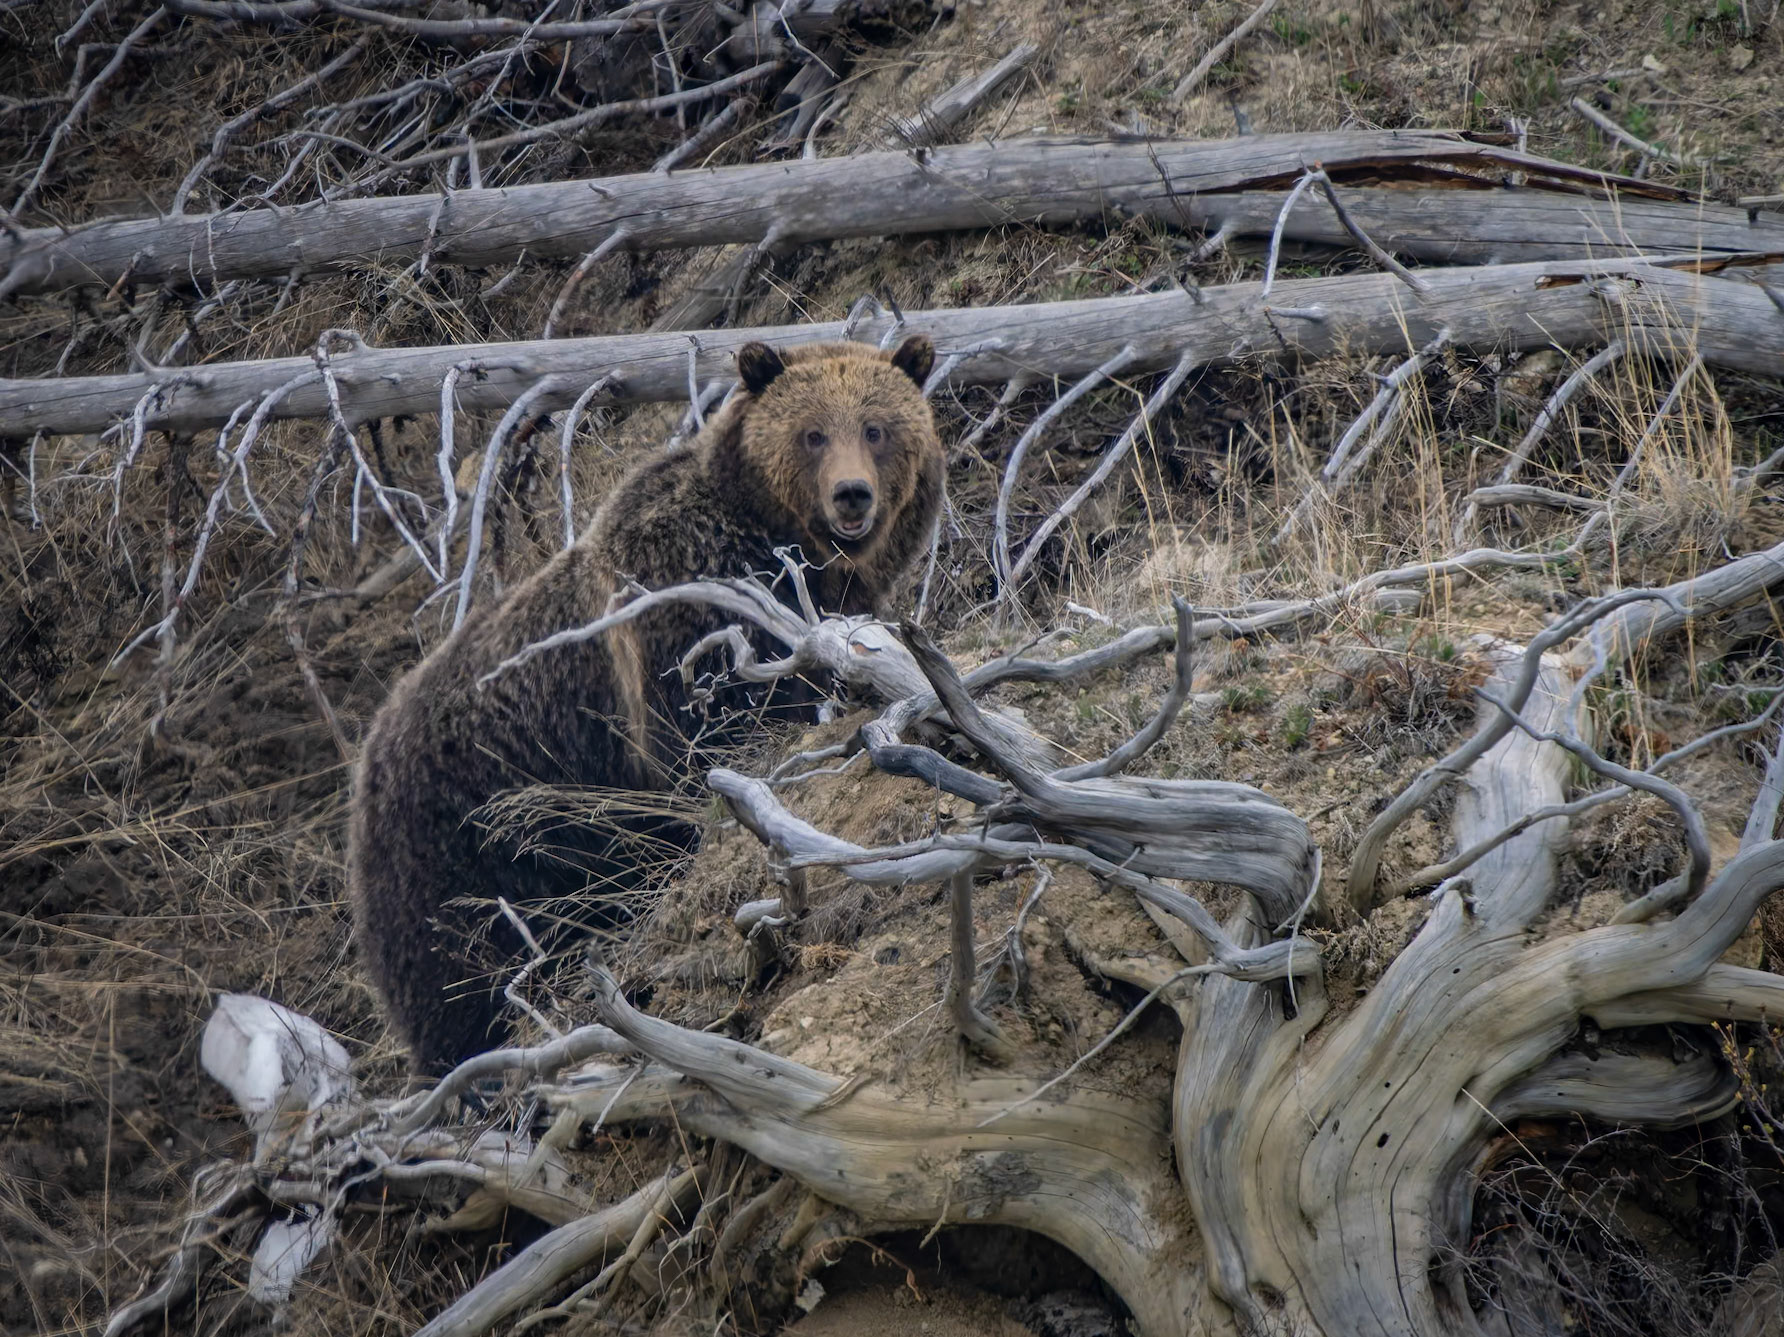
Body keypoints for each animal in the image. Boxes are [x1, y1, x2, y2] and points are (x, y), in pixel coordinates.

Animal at [347, 335, 941, 1073]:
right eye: (812, 434)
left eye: (876, 428)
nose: (852, 495)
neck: (783, 544)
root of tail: (367, 752)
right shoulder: (686, 610)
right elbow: (716, 729)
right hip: (459, 837)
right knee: (453, 975)